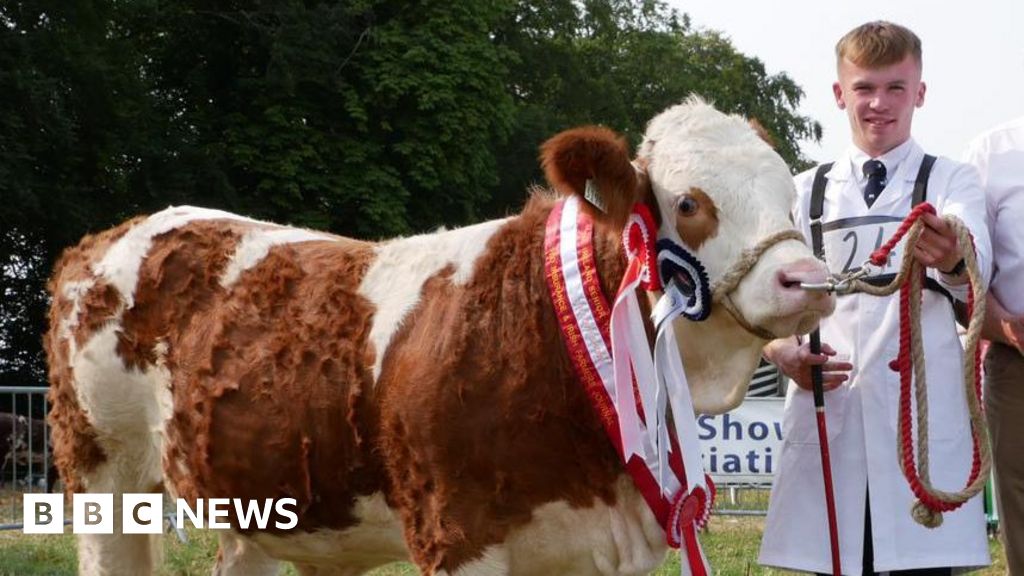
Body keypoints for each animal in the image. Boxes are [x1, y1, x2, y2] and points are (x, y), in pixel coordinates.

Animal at [46, 97, 831, 569]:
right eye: (691, 202)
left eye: (789, 195)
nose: (805, 278)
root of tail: (105, 239)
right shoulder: (458, 534)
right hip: (103, 480)